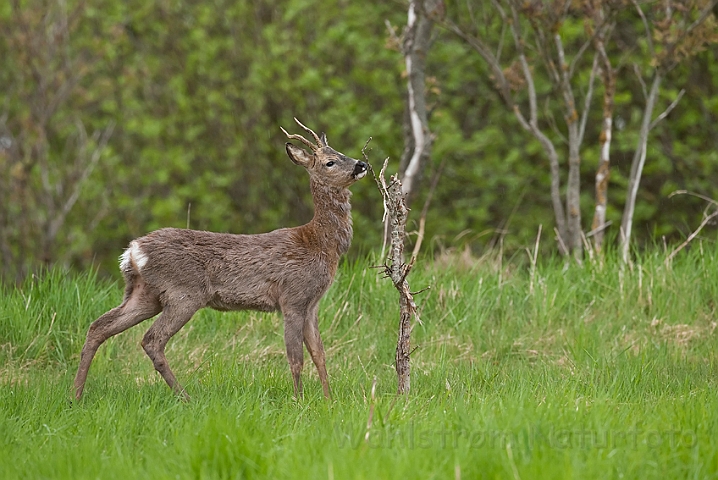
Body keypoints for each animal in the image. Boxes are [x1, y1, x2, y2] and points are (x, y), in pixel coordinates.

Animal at [74, 118, 368, 400]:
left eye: (341, 152)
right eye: (330, 162)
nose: (362, 164)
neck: (321, 244)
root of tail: (134, 250)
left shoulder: (312, 304)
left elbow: (320, 355)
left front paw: (328, 400)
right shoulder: (292, 297)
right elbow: (296, 358)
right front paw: (299, 401)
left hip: (144, 294)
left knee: (99, 326)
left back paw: (75, 395)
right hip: (184, 293)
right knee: (152, 340)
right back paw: (185, 397)